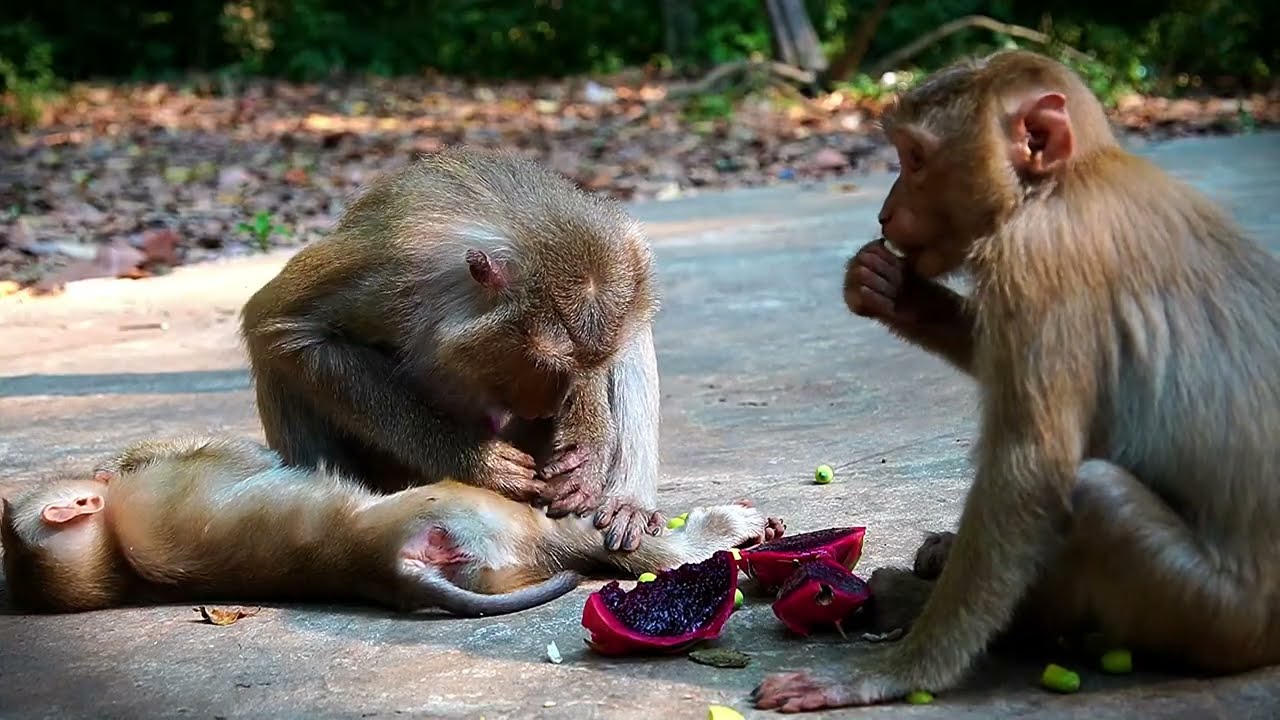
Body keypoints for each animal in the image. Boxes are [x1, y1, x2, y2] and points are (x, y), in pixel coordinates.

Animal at [240, 146, 663, 553]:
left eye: (584, 368)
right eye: (542, 365)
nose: (546, 408)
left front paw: (587, 453)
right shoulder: (389, 269)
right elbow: (283, 325)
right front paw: (475, 460)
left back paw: (629, 501)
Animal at [753, 49, 1280, 712]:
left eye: (915, 158)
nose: (885, 212)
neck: (1064, 181)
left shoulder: (1035, 260)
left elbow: (1027, 469)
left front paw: (893, 673)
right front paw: (892, 291)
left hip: (1216, 616)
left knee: (1094, 497)